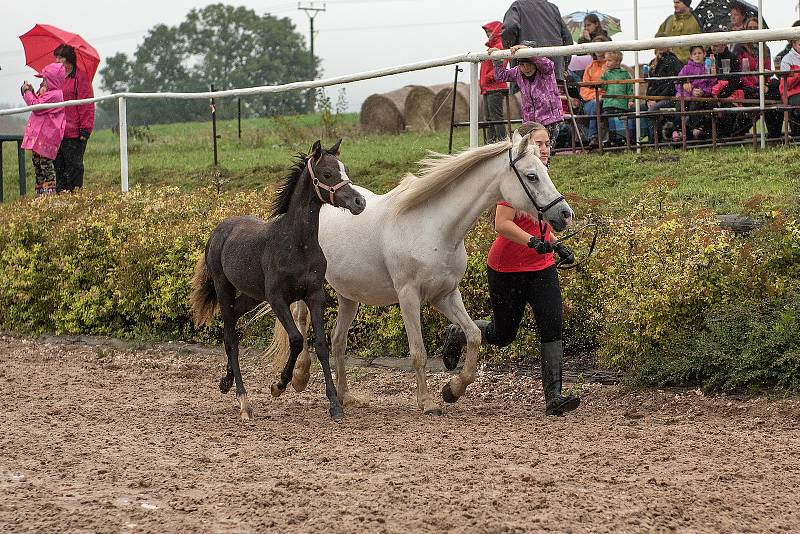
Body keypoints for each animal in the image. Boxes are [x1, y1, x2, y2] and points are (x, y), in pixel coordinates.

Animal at [266, 132, 572, 416]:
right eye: (532, 176)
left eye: (545, 170)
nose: (565, 213)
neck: (434, 227)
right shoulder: (409, 297)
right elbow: (418, 353)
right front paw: (427, 402)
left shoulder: (445, 295)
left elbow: (473, 335)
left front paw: (453, 389)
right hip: (311, 289)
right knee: (302, 322)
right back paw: (300, 377)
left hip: (348, 294)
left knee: (338, 340)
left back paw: (346, 397)